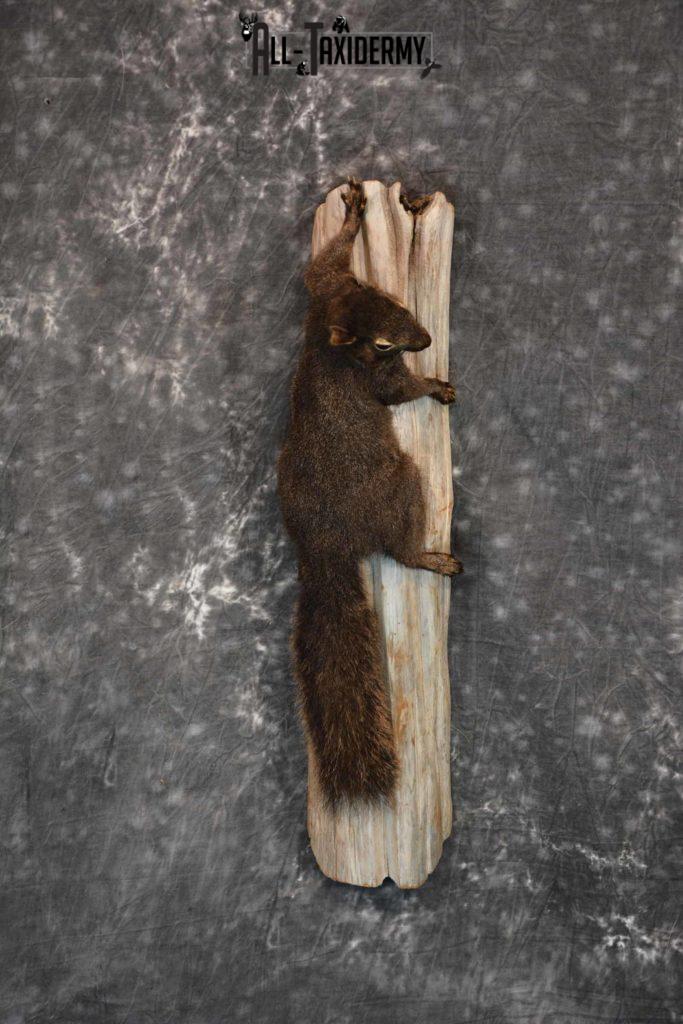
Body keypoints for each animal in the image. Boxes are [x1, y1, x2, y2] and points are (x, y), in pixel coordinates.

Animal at [277, 178, 462, 809]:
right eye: (383, 343)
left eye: (397, 300)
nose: (425, 338)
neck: (329, 332)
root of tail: (323, 545)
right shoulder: (376, 378)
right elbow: (400, 391)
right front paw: (434, 384)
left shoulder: (324, 288)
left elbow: (322, 264)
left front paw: (355, 213)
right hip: (397, 485)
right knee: (398, 549)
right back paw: (430, 556)